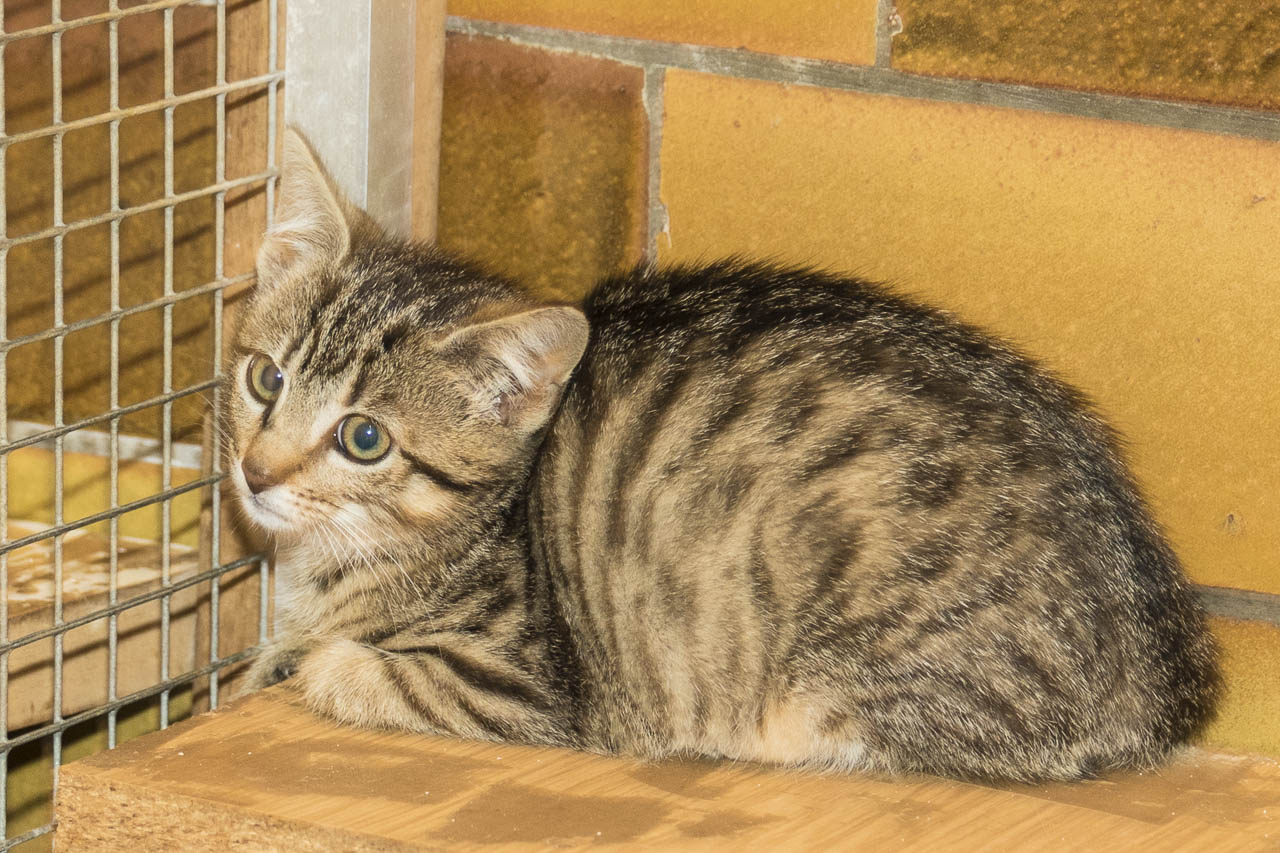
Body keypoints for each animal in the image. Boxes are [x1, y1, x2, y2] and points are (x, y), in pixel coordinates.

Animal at [225, 129, 1219, 782]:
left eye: (364, 439)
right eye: (265, 379)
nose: (257, 473)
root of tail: (1167, 662)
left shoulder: (526, 685)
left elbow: (348, 669)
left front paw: (304, 660)